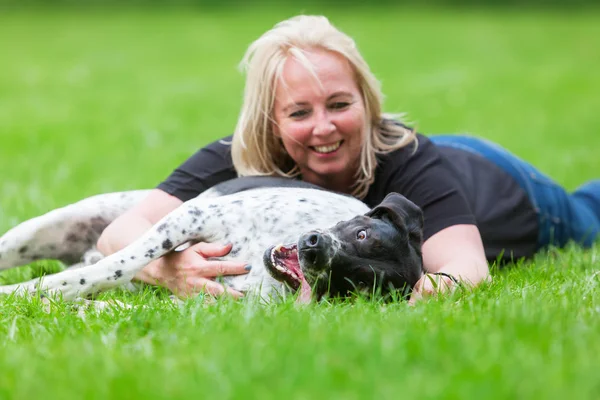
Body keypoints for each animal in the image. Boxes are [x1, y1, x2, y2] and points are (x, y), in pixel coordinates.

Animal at [0, 178, 422, 304]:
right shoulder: (189, 219)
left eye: (356, 282)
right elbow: (115, 266)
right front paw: (20, 293)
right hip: (45, 229)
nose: (316, 249)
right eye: (361, 234)